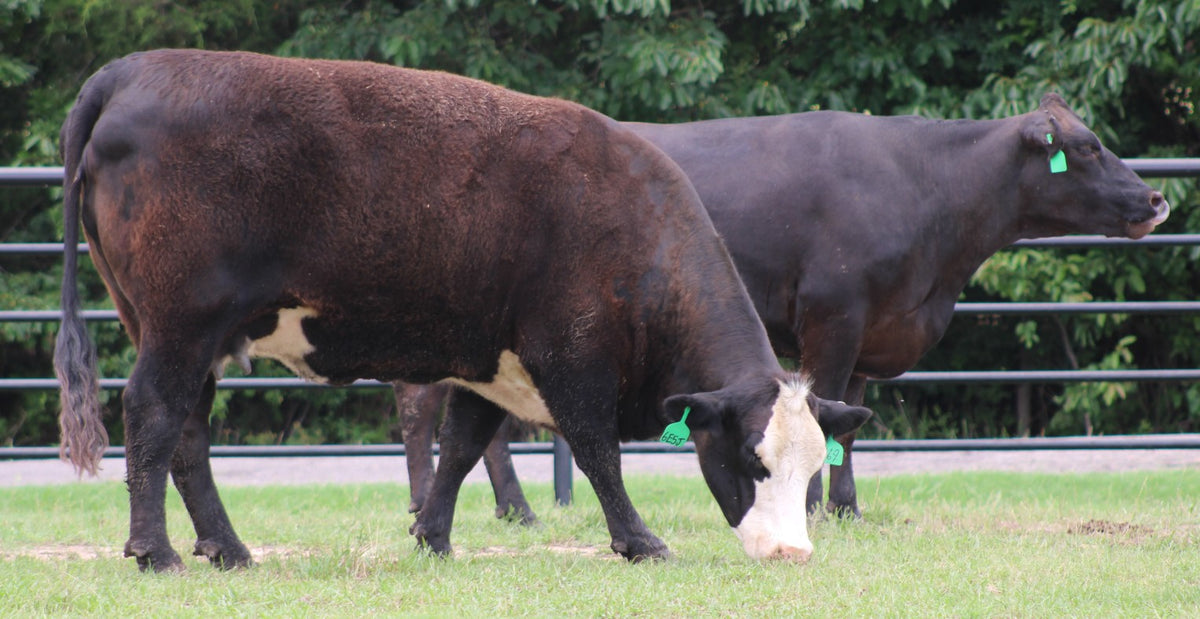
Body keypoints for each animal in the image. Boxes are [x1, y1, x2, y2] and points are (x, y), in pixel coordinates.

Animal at [55, 49, 873, 572]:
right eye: (751, 459)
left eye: (813, 467)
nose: (792, 551)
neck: (634, 228)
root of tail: (133, 69)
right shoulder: (571, 358)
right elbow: (596, 451)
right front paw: (639, 540)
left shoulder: (491, 367)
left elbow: (461, 447)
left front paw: (434, 537)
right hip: (180, 324)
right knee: (154, 413)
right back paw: (156, 551)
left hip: (186, 331)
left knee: (188, 430)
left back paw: (226, 548)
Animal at [396, 93, 1169, 520]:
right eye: (1088, 148)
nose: (1158, 198)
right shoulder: (835, 318)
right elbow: (824, 409)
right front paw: (816, 505)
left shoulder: (872, 326)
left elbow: (851, 423)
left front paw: (848, 509)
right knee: (423, 407)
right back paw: (456, 504)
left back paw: (504, 509)